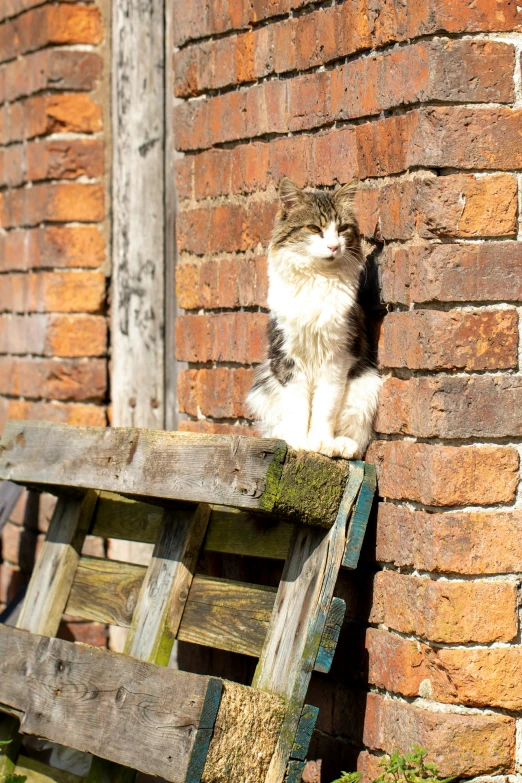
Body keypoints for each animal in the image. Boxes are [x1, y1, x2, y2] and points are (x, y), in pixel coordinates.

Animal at [246, 178, 380, 460]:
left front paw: (321, 442)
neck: (317, 278)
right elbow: (298, 407)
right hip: (265, 381)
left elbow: (325, 408)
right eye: (314, 228)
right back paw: (284, 433)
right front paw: (298, 441)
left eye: (342, 229)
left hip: (367, 384)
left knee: (355, 436)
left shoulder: (338, 357)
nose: (333, 246)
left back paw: (342, 445)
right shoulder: (287, 358)